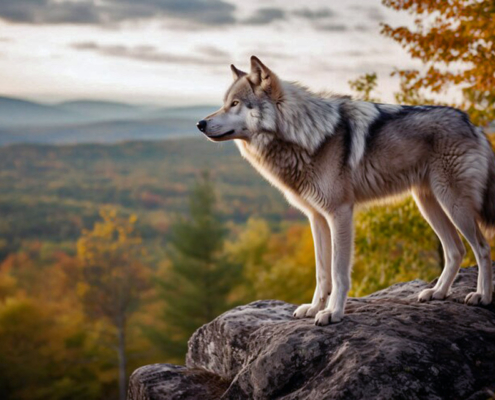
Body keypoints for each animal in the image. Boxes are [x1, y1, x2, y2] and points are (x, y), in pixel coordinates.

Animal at [197, 55, 495, 324]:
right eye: (224, 104)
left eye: (235, 104)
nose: (200, 124)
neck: (303, 136)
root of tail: (472, 123)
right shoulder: (316, 218)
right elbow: (321, 273)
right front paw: (314, 308)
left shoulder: (339, 213)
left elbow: (338, 273)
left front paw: (333, 313)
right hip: (428, 204)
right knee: (456, 250)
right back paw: (438, 292)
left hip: (453, 204)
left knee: (481, 248)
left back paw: (482, 296)